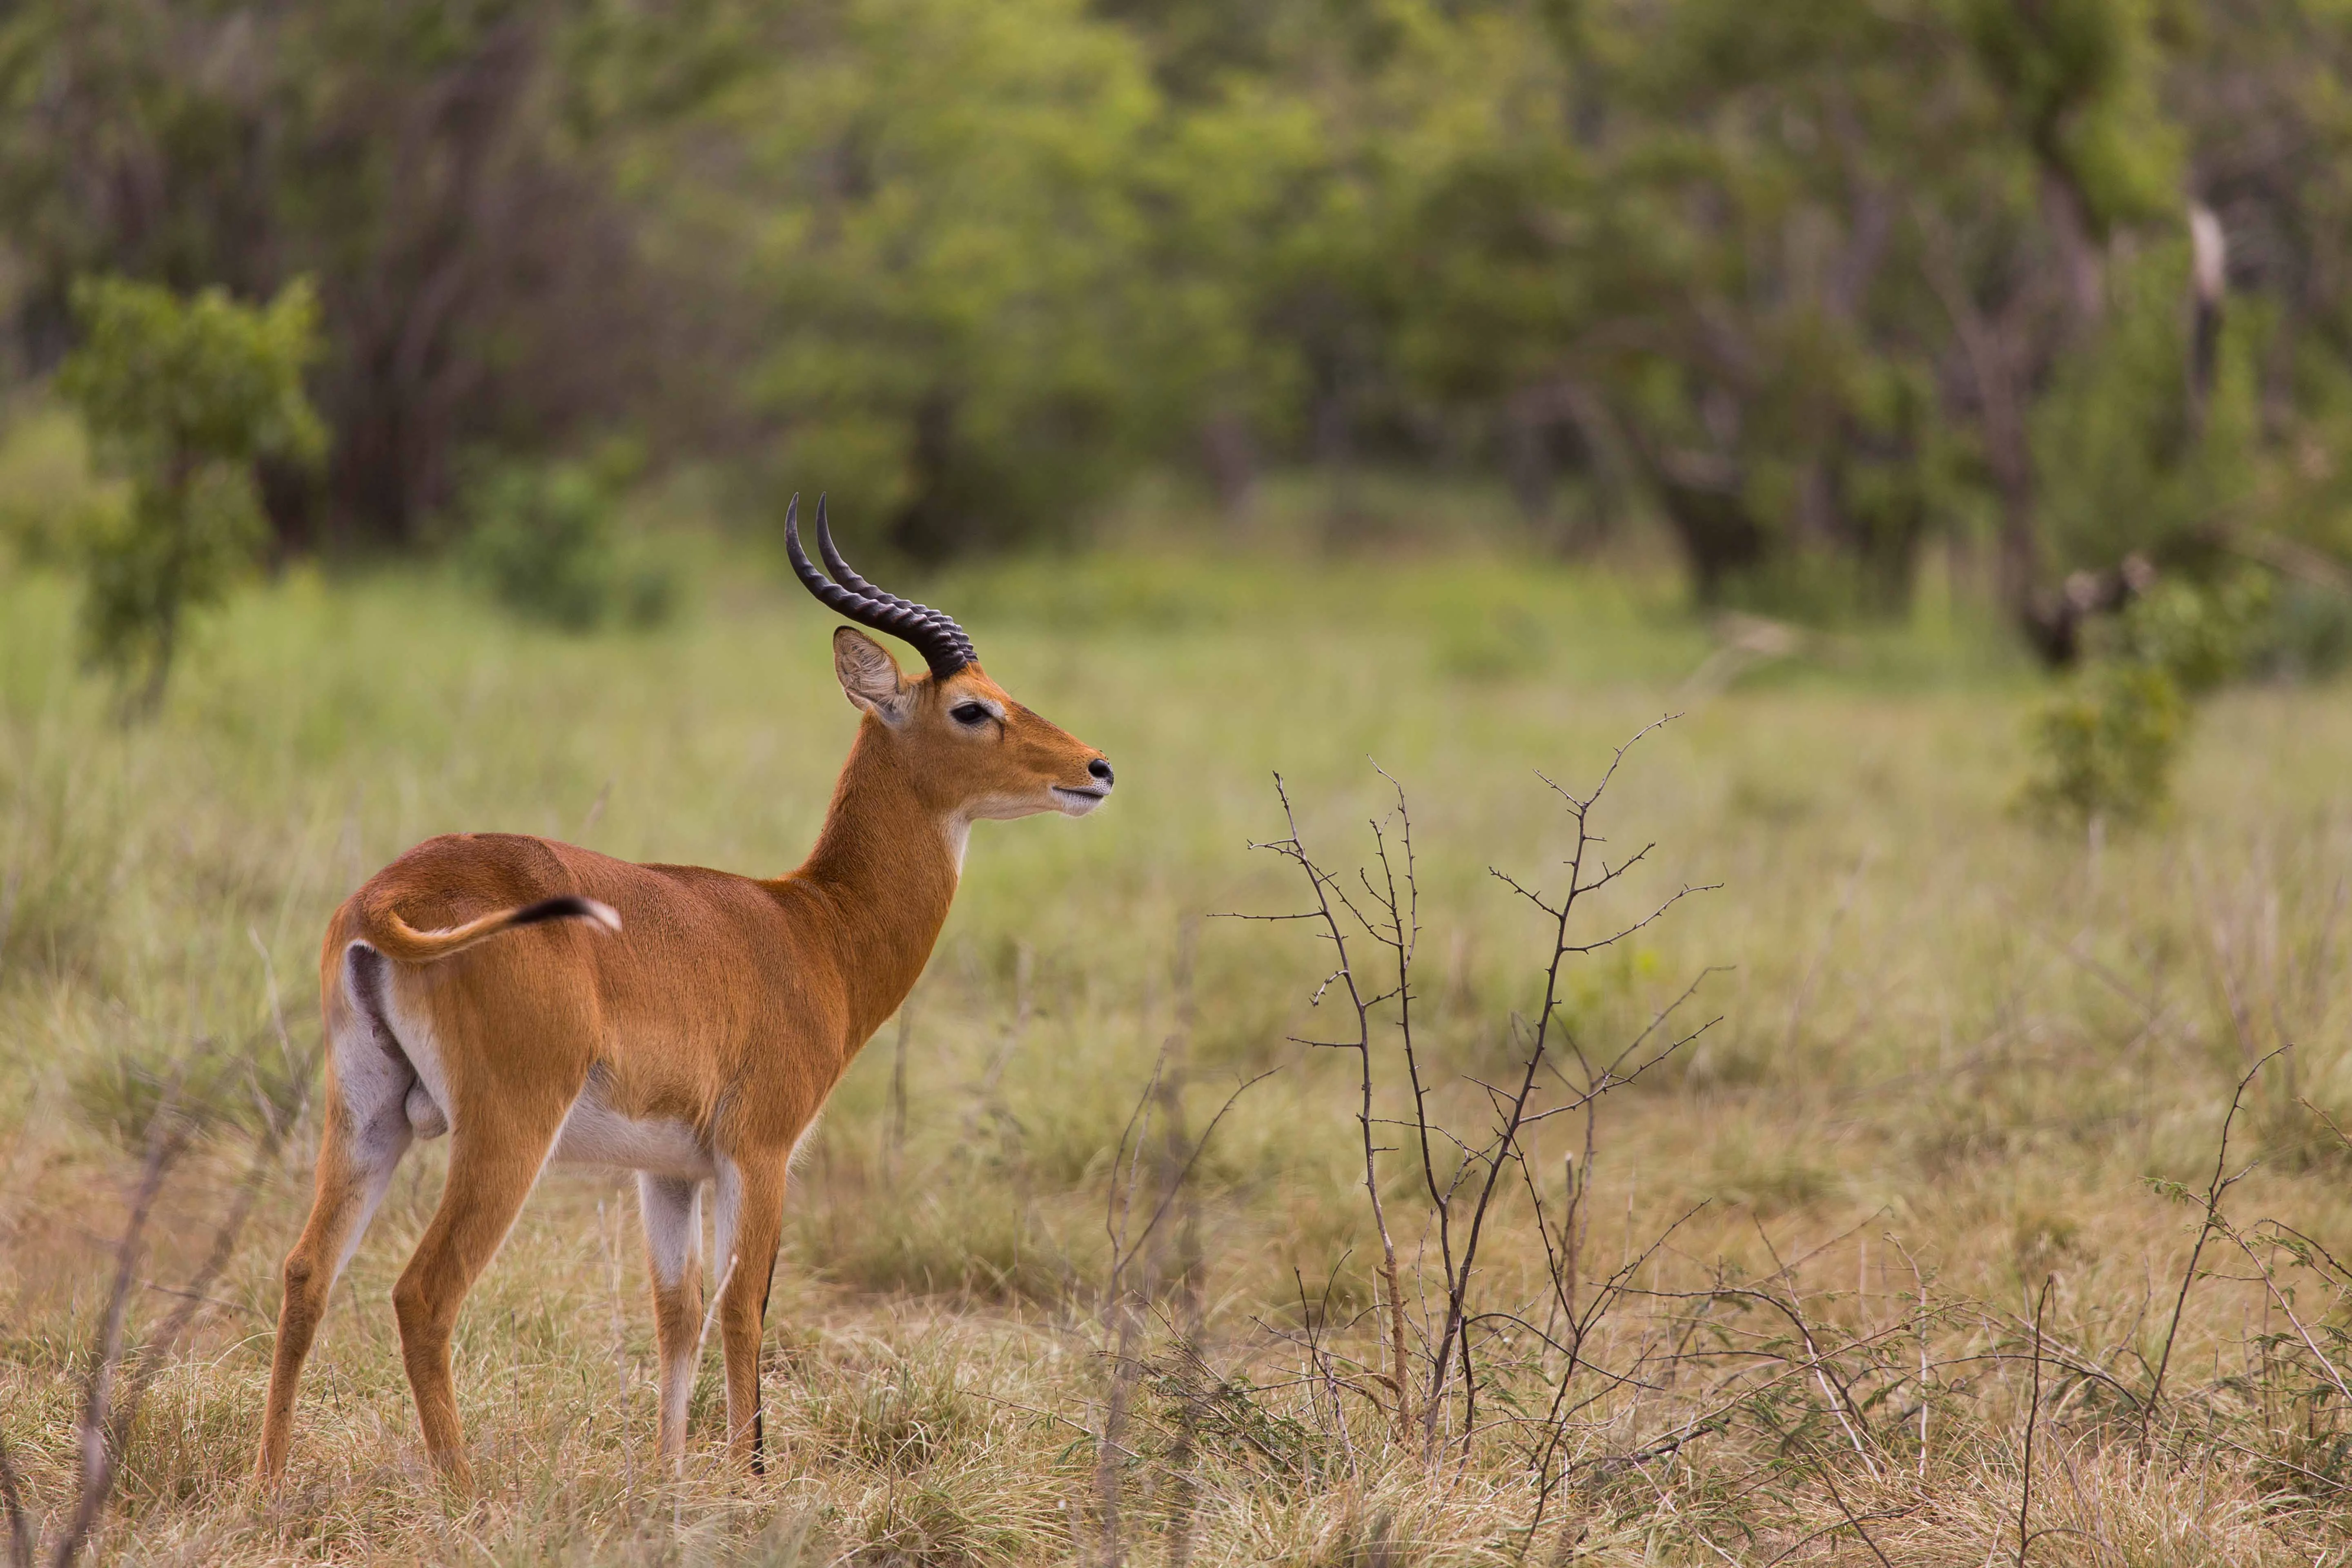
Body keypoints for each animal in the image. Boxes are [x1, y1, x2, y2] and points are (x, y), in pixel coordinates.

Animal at [254, 500, 1113, 1490]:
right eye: (974, 708)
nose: (1097, 769)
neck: (813, 927)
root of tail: (392, 896)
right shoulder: (762, 1153)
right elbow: (744, 1308)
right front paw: (749, 1480)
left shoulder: (666, 1172)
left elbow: (678, 1312)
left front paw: (670, 1476)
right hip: (507, 1128)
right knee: (424, 1292)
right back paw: (466, 1496)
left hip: (366, 1116)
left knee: (306, 1271)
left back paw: (267, 1488)